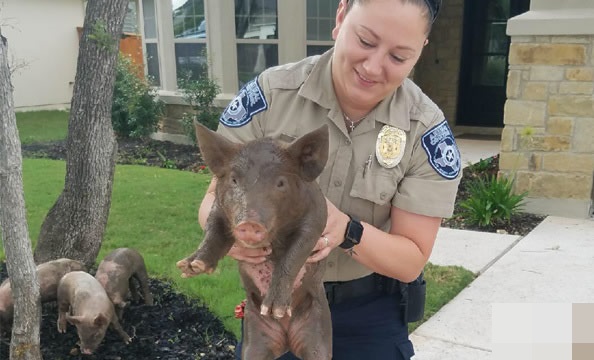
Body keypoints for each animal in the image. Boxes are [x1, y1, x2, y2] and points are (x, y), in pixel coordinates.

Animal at [176, 123, 332, 360]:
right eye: (234, 180)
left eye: (281, 182)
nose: (250, 223)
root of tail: (286, 339)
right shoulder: (219, 209)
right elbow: (213, 232)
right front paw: (191, 266)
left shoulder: (317, 217)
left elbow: (295, 253)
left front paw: (275, 309)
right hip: (254, 333)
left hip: (318, 329)